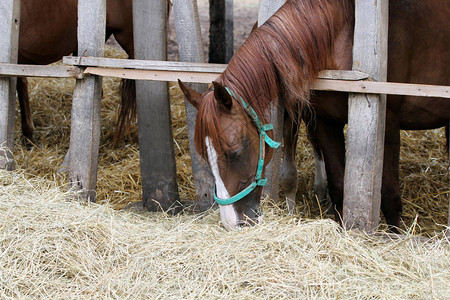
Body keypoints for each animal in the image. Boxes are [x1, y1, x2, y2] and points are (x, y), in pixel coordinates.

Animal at [180, 0, 450, 230]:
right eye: (204, 158)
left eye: (235, 153)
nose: (231, 223)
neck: (341, 35)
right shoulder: (325, 122)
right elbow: (338, 184)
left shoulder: (388, 123)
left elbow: (390, 194)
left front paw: (394, 234)